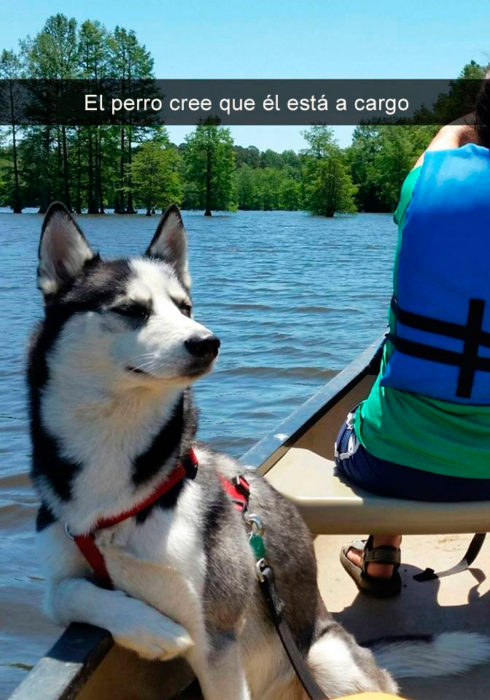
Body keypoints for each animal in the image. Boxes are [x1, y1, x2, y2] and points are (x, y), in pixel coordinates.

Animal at [28, 204, 490, 700]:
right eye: (131, 310)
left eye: (184, 307)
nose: (207, 342)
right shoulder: (61, 578)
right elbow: (68, 592)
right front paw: (151, 629)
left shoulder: (217, 637)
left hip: (325, 657)